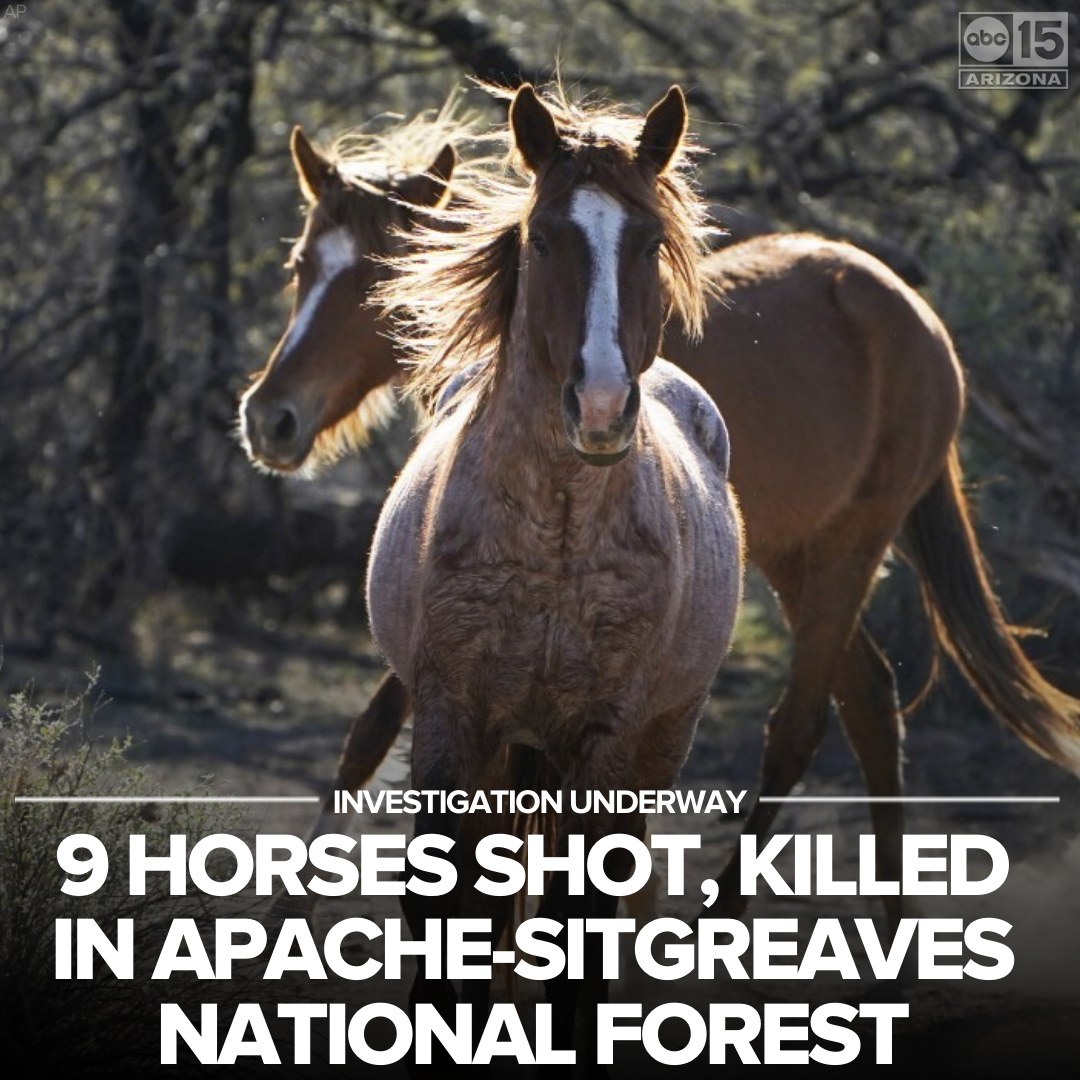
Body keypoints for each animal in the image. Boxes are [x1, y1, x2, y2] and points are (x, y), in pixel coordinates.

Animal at [240, 98, 1080, 932]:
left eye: (380, 273)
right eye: (304, 265)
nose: (272, 418)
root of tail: (921, 319)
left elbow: (388, 733)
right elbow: (375, 736)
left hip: (850, 548)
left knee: (801, 725)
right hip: (797, 557)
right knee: (870, 699)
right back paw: (892, 924)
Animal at [364, 82, 742, 1056]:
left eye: (649, 240)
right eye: (542, 238)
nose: (602, 408)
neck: (557, 541)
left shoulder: (602, 741)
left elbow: (579, 940)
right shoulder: (453, 723)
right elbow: (445, 925)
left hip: (651, 743)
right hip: (517, 751)